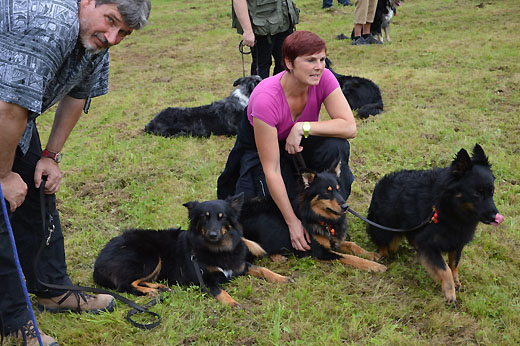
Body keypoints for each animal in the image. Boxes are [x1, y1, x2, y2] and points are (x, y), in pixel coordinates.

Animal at [92, 193, 290, 306]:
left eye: (222, 217)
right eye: (204, 217)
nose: (213, 234)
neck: (218, 249)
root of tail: (98, 262)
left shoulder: (240, 265)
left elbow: (262, 269)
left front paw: (282, 278)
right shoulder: (203, 279)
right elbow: (221, 291)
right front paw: (233, 303)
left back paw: (159, 287)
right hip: (150, 257)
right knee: (127, 284)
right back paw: (152, 291)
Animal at [240, 162, 386, 274]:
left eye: (338, 189)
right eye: (327, 192)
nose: (345, 206)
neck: (321, 218)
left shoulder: (333, 241)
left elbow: (352, 245)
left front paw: (371, 255)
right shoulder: (321, 252)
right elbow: (350, 257)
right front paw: (374, 266)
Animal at [366, 144, 504, 306]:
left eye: (491, 192)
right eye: (477, 194)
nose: (495, 217)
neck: (448, 207)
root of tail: (381, 182)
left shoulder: (457, 242)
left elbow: (454, 264)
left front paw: (456, 282)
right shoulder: (429, 244)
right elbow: (445, 270)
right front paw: (450, 293)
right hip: (385, 229)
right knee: (383, 242)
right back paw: (384, 255)